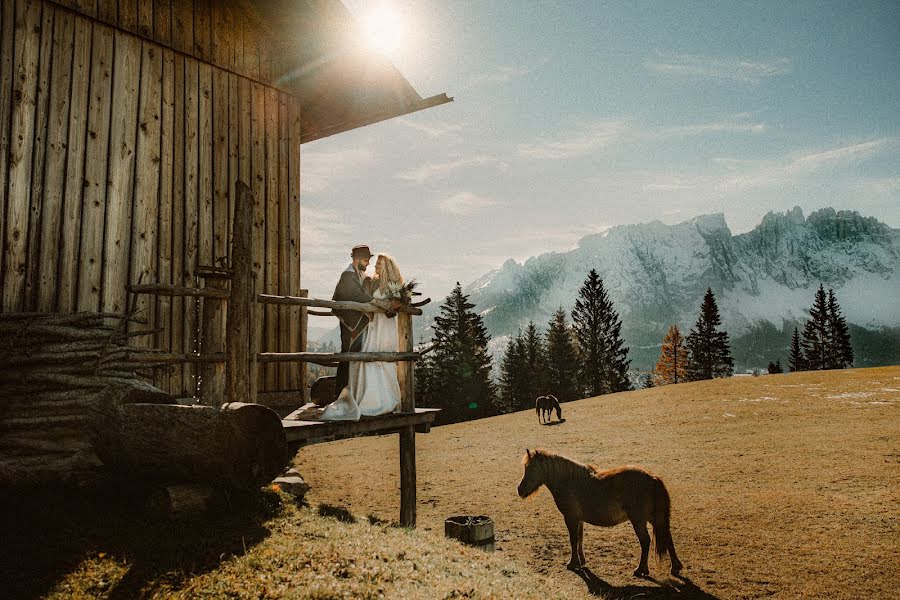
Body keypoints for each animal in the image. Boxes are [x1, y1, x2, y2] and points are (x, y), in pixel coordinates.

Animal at [520, 448, 684, 580]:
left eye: (531, 468)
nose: (519, 489)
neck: (569, 481)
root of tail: (653, 478)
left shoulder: (570, 518)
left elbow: (573, 540)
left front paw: (572, 563)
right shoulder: (579, 519)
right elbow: (580, 539)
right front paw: (581, 561)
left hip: (639, 520)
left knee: (645, 541)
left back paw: (640, 570)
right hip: (653, 518)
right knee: (667, 537)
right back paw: (675, 567)